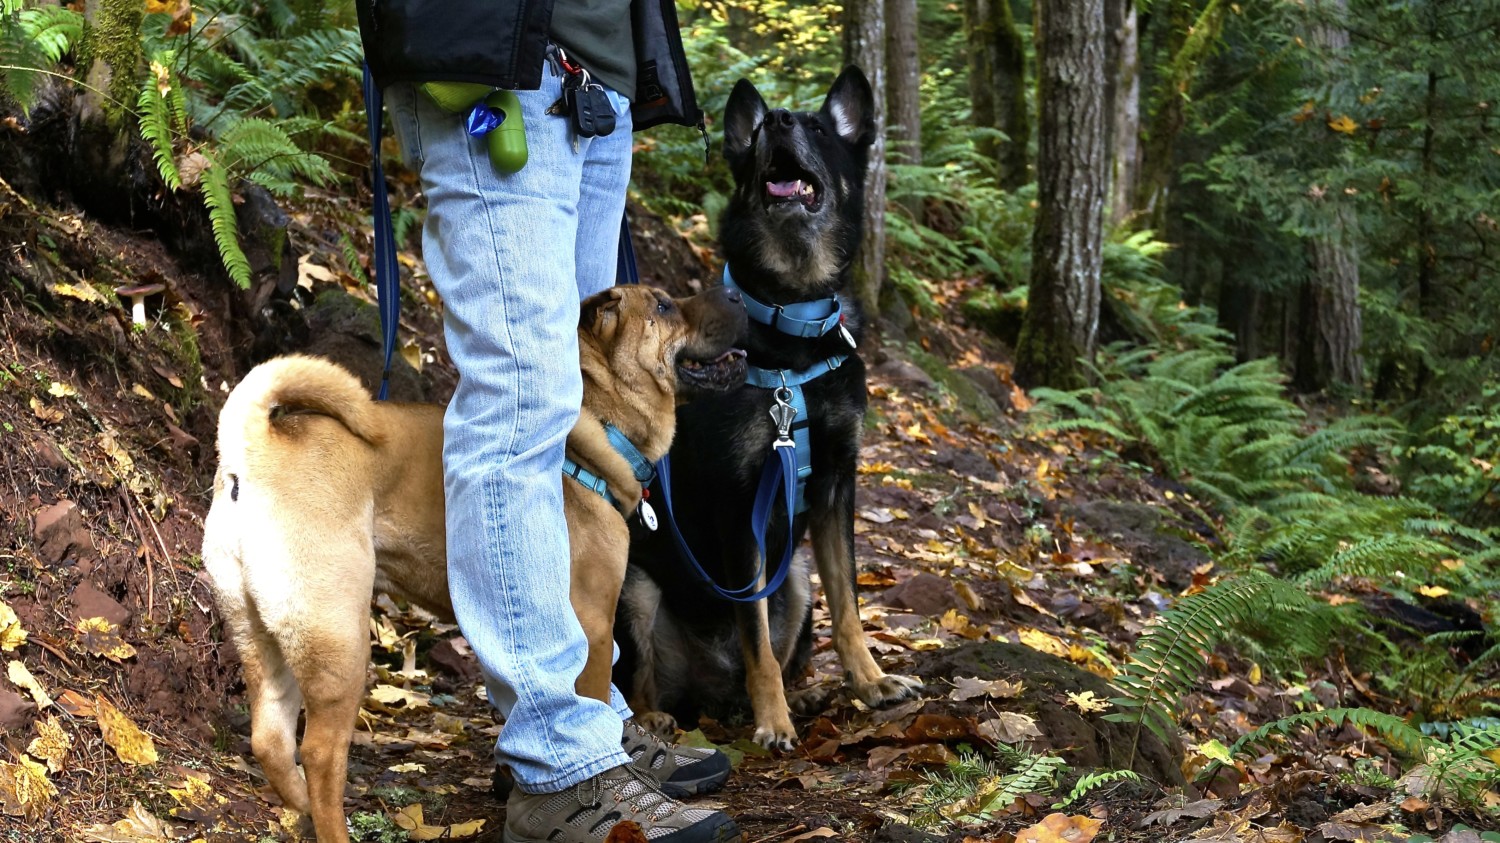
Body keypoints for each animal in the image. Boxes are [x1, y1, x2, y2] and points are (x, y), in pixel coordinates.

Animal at [204, 285, 744, 834]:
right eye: (663, 306)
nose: (734, 294)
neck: (590, 435)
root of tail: (252, 447)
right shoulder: (592, 626)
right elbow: (594, 703)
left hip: (265, 634)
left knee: (270, 740)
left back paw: (299, 806)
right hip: (337, 639)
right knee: (318, 752)